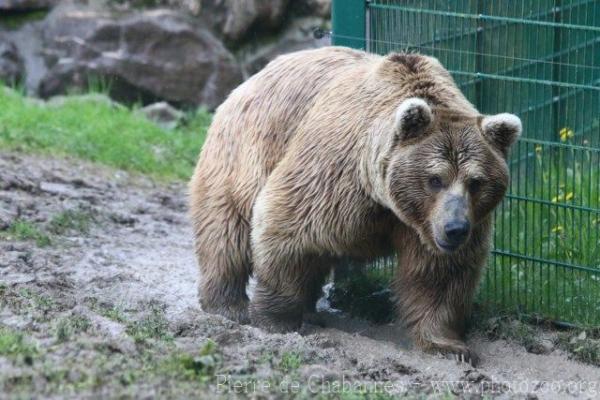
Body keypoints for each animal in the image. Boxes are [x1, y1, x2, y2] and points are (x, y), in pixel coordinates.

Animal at [189, 45, 520, 364]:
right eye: (435, 178)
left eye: (475, 181)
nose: (455, 229)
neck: (387, 201)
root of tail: (252, 78)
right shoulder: (336, 178)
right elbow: (287, 225)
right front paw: (275, 319)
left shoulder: (436, 225)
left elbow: (440, 275)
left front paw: (450, 346)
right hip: (245, 152)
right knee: (226, 232)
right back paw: (227, 305)